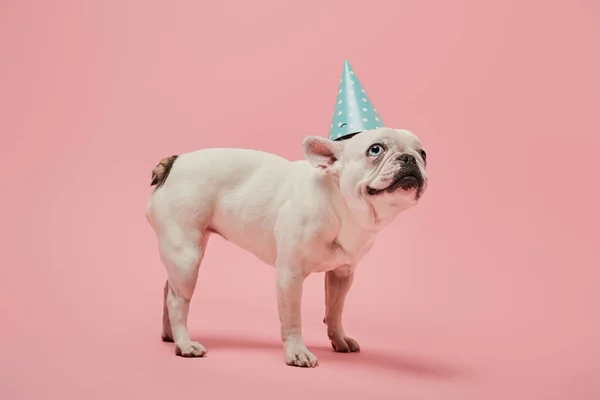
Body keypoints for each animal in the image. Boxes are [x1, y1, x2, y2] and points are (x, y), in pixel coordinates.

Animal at [145, 126, 426, 368]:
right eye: (375, 149)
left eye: (423, 153)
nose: (409, 158)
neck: (341, 205)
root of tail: (175, 161)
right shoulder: (290, 275)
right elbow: (292, 319)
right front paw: (297, 353)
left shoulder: (342, 274)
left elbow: (335, 310)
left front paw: (339, 340)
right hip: (187, 254)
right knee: (178, 300)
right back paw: (185, 344)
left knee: (168, 290)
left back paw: (170, 336)